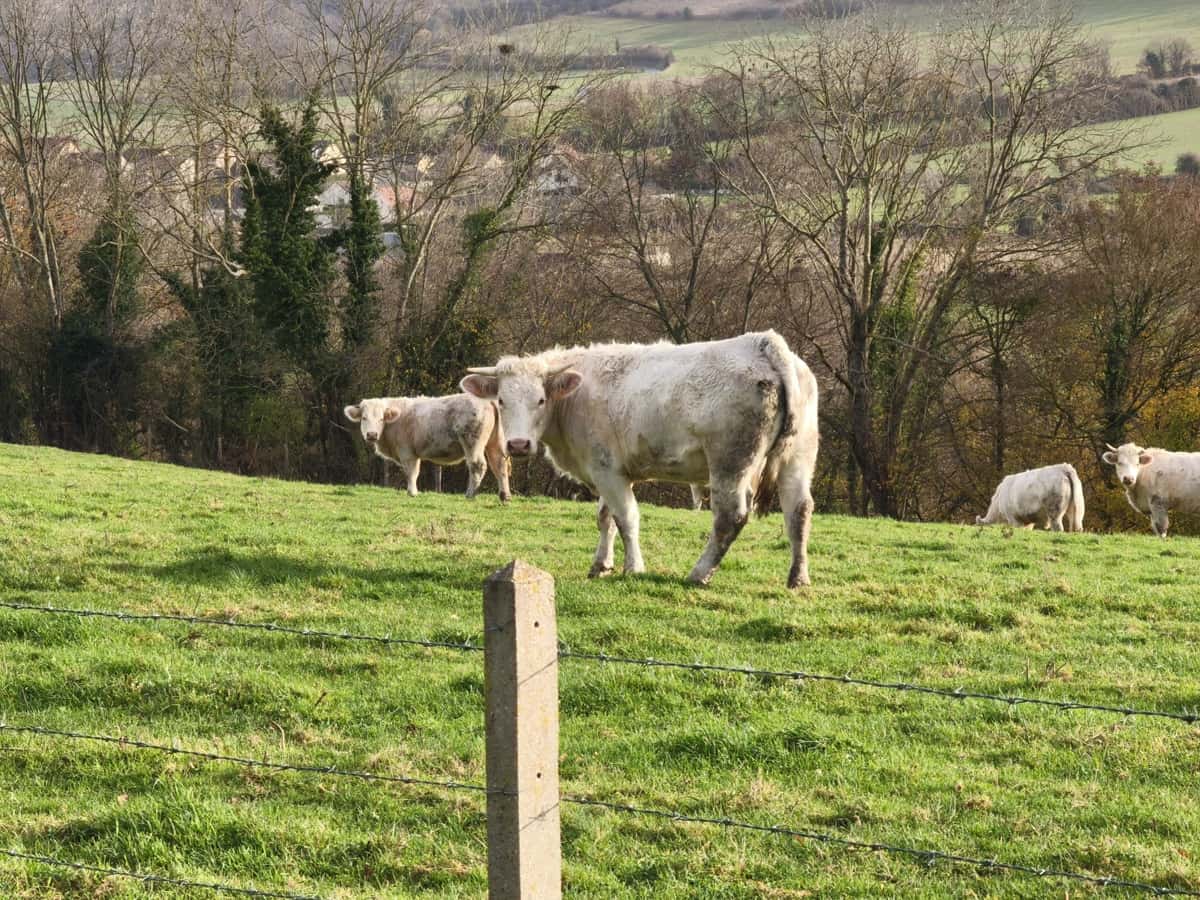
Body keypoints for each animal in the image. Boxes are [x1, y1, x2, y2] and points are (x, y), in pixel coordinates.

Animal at [344, 395, 510, 501]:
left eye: (381, 418)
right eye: (364, 418)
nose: (372, 434)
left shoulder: (407, 453)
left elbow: (411, 473)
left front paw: (412, 492)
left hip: (472, 442)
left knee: (478, 466)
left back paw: (470, 494)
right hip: (495, 442)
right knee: (499, 465)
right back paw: (505, 495)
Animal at [461, 331, 819, 588]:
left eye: (540, 399)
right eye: (502, 400)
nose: (518, 444)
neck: (573, 400)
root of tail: (763, 342)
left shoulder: (608, 470)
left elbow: (626, 518)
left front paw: (633, 568)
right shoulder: (604, 469)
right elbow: (605, 518)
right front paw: (601, 564)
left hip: (730, 463)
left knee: (730, 517)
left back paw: (698, 573)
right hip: (799, 457)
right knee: (799, 511)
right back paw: (798, 578)